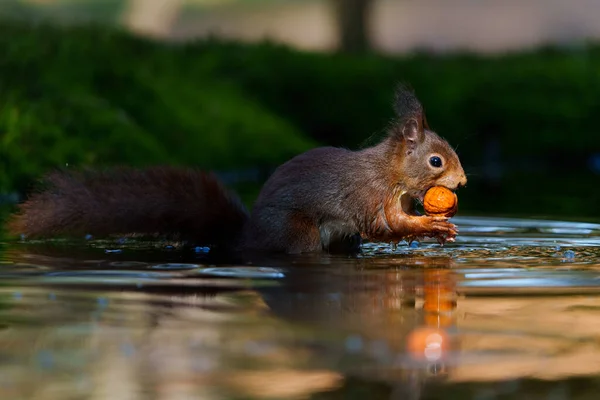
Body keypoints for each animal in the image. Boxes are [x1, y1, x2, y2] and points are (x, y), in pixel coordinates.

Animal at [4, 87, 466, 255]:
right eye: (436, 161)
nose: (461, 182)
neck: (391, 173)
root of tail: (247, 238)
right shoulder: (369, 195)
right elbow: (384, 225)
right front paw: (431, 226)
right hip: (298, 235)